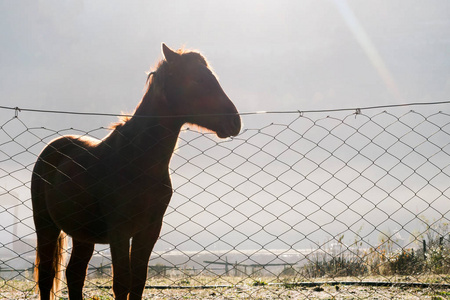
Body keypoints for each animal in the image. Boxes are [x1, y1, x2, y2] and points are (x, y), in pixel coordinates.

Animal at [30, 42, 243, 300]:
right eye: (198, 79)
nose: (234, 122)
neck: (137, 160)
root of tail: (52, 150)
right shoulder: (120, 232)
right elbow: (122, 283)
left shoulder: (148, 231)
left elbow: (138, 281)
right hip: (46, 227)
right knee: (46, 276)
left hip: (82, 236)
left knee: (74, 275)